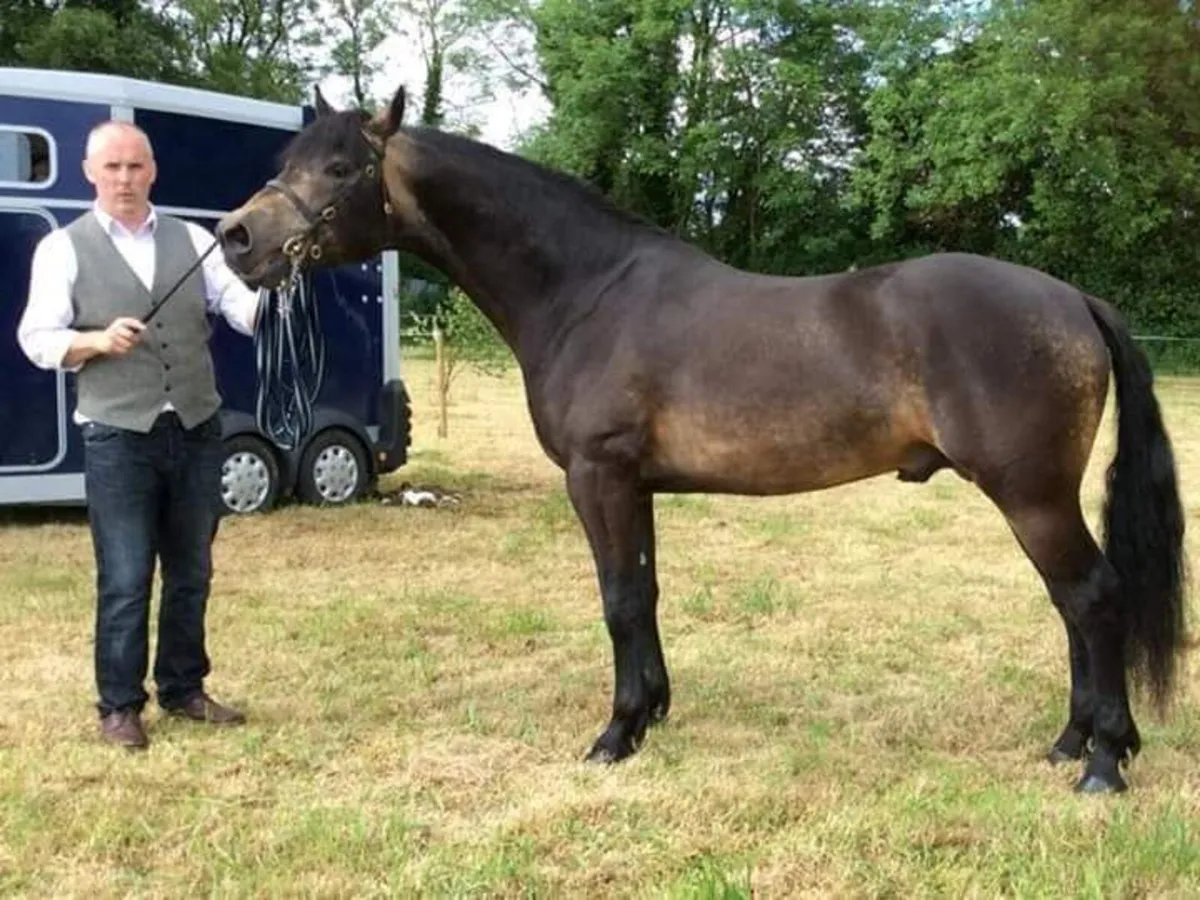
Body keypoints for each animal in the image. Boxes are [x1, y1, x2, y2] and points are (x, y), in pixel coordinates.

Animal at [215, 83, 1187, 794]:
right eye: (287, 160)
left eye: (341, 166)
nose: (236, 237)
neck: (588, 291)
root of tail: (1071, 298)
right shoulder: (634, 486)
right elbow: (643, 594)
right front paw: (650, 714)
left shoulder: (598, 476)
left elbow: (618, 600)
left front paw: (613, 735)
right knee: (1071, 605)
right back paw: (1073, 743)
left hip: (1032, 494)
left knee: (1092, 597)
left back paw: (1104, 763)